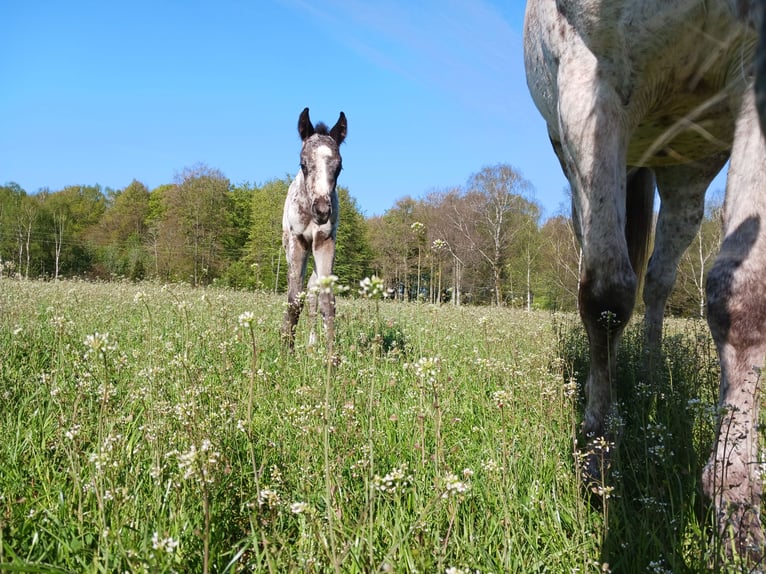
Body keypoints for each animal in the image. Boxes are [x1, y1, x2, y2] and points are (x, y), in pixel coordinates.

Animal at [282, 108, 348, 352]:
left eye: (339, 167)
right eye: (303, 164)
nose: (321, 210)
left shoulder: (324, 242)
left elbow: (327, 302)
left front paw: (333, 357)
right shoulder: (298, 241)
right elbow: (293, 299)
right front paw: (286, 351)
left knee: (312, 294)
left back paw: (312, 345)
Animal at [524, 0, 766, 560]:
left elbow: (744, 297)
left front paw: (736, 504)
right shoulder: (590, 77)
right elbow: (605, 294)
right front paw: (597, 455)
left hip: (688, 171)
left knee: (657, 280)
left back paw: (655, 376)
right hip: (582, 158)